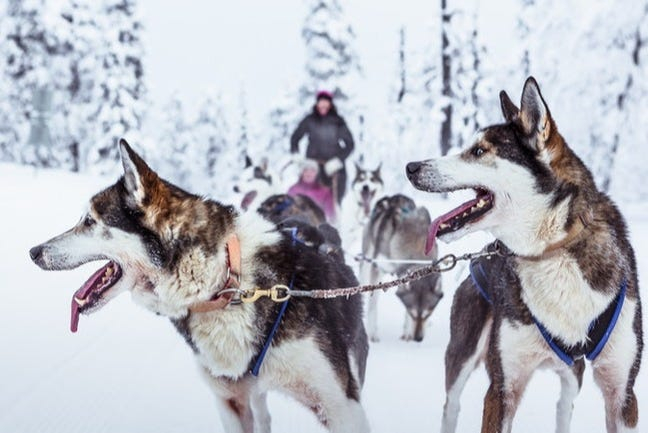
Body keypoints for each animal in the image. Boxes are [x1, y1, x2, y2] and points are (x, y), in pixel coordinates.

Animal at [362, 194, 442, 342]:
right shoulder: (377, 269)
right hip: (366, 262)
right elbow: (372, 306)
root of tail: (393, 197)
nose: (418, 338)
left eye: (428, 314)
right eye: (413, 312)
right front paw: (372, 333)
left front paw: (407, 333)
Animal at [408, 77, 640, 432]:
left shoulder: (622, 391)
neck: (552, 251)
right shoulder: (503, 388)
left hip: (572, 374)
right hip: (463, 351)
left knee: (564, 404)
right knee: (452, 404)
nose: (411, 167)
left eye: (479, 151)